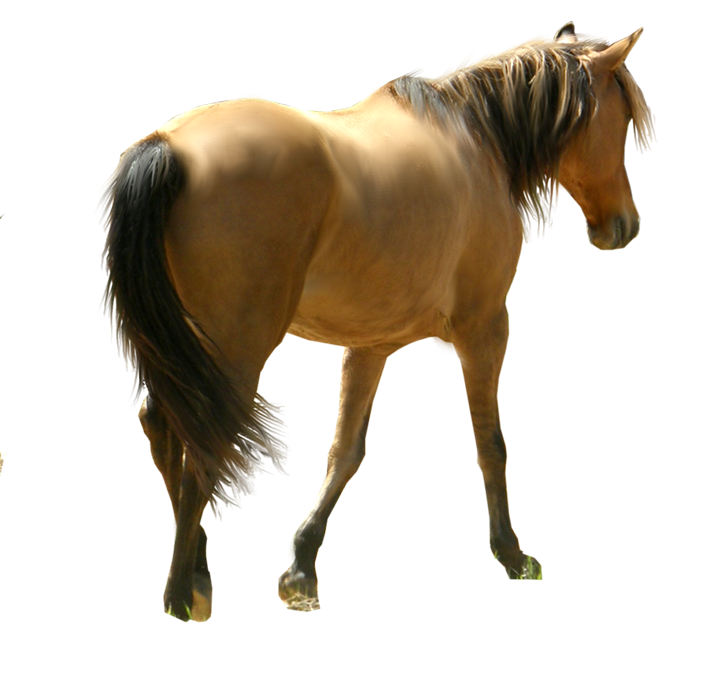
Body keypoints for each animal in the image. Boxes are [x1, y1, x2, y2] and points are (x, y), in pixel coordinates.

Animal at [96, 21, 656, 621]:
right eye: (621, 120)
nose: (624, 226)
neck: (477, 143)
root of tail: (168, 146)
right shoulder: (486, 327)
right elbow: (490, 442)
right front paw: (511, 552)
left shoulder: (372, 344)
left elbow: (345, 450)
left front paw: (302, 564)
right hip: (237, 345)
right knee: (199, 439)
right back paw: (181, 592)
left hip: (183, 343)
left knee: (163, 425)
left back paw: (196, 568)